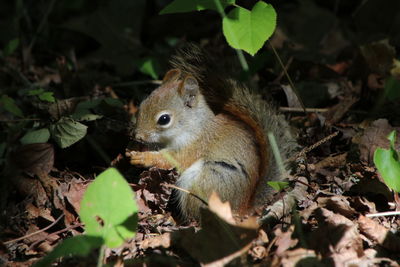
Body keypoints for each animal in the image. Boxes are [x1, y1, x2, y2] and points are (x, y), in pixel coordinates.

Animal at [126, 45, 298, 221]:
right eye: (142, 104)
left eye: (164, 119)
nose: (137, 135)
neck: (193, 125)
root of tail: (243, 209)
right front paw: (135, 147)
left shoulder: (196, 145)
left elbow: (172, 159)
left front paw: (143, 157)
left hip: (207, 183)